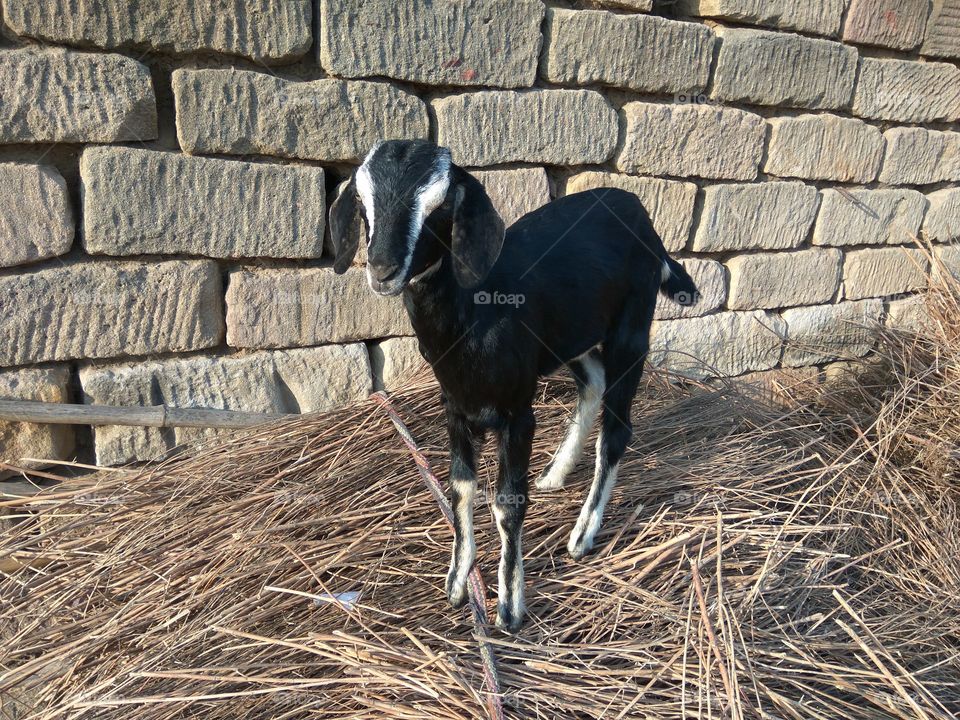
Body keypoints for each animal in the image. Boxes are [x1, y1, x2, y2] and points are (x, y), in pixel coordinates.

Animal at [328, 139, 699, 632]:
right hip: (570, 335)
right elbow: (460, 488)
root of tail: (640, 213)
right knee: (593, 383)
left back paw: (583, 533)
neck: (475, 309)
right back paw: (556, 473)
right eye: (362, 199)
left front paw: (509, 604)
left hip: (632, 328)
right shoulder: (455, 408)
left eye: (440, 205)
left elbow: (506, 501)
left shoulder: (517, 413)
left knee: (617, 430)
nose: (383, 269)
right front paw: (458, 581)